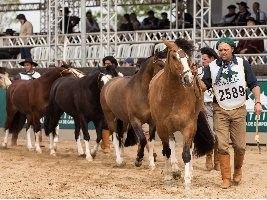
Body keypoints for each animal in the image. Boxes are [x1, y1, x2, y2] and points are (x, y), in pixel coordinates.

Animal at [148, 39, 215, 189]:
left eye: (187, 58)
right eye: (174, 57)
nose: (188, 78)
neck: (172, 97)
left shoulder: (188, 126)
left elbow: (186, 153)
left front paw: (187, 181)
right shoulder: (162, 127)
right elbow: (167, 150)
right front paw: (168, 177)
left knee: (189, 147)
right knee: (171, 144)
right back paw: (174, 170)